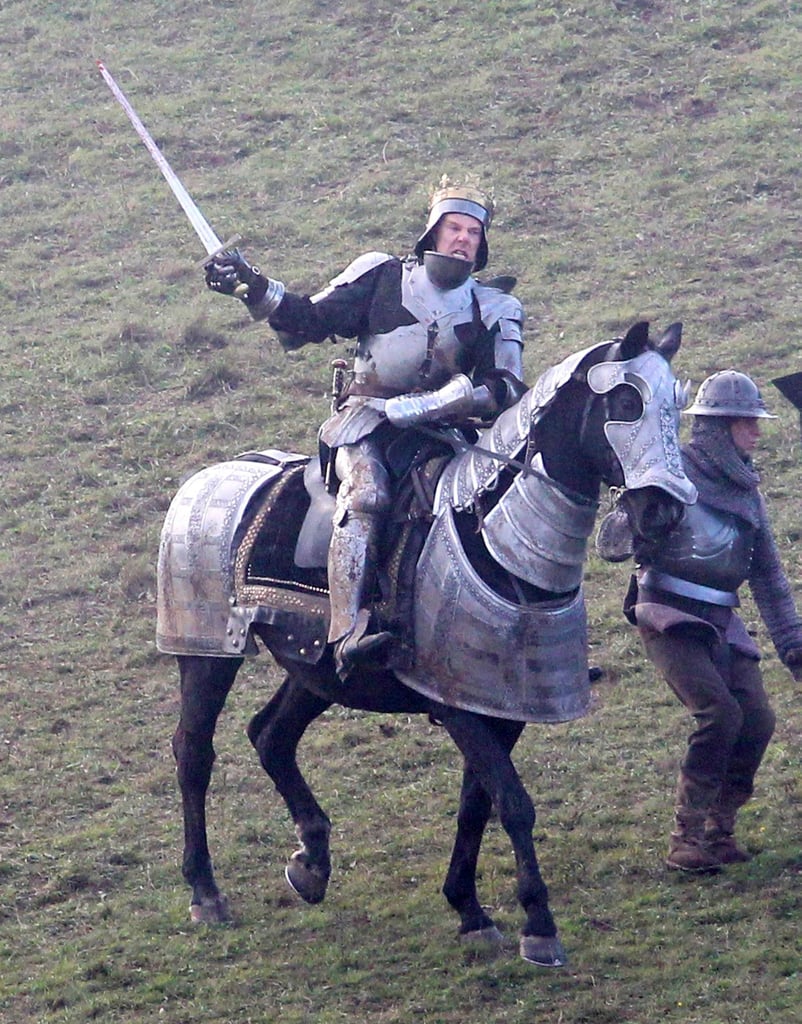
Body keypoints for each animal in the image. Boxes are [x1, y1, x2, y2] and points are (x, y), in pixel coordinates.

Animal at [158, 321, 696, 966]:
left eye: (674, 406)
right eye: (625, 404)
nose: (663, 511)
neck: (491, 534)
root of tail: (211, 475)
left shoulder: (501, 707)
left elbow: (477, 805)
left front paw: (470, 909)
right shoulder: (458, 706)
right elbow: (514, 803)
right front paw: (538, 924)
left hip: (317, 666)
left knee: (271, 737)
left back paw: (312, 863)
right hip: (205, 651)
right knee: (194, 754)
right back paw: (205, 890)